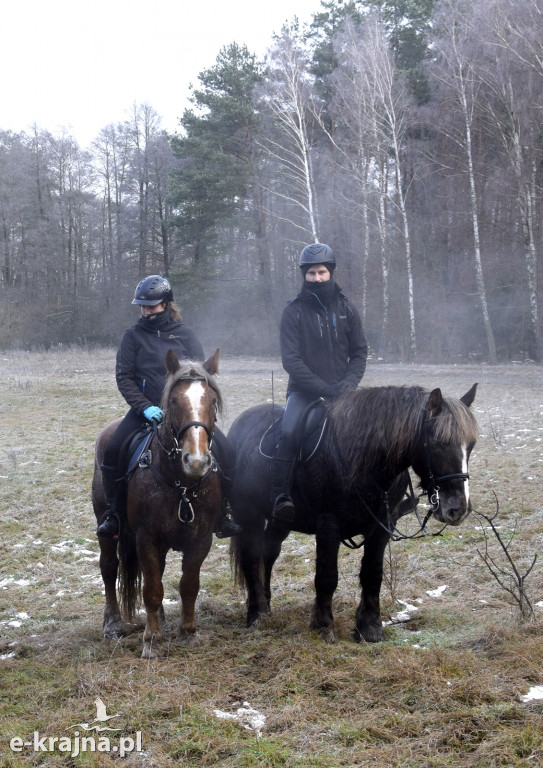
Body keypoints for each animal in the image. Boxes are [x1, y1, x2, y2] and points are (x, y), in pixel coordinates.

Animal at [92, 352, 222, 656]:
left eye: (212, 401)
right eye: (173, 401)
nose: (196, 461)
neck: (182, 485)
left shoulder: (201, 539)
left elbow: (188, 585)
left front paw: (188, 632)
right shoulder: (146, 538)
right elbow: (151, 588)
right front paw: (152, 641)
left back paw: (161, 618)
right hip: (106, 525)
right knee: (109, 568)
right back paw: (113, 623)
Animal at [227, 382, 478, 640]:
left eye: (471, 445)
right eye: (438, 443)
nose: (459, 508)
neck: (364, 461)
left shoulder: (383, 525)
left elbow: (372, 573)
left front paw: (370, 626)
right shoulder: (328, 525)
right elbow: (326, 576)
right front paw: (323, 625)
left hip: (281, 521)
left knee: (268, 552)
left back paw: (266, 607)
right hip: (248, 514)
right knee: (251, 556)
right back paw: (256, 613)